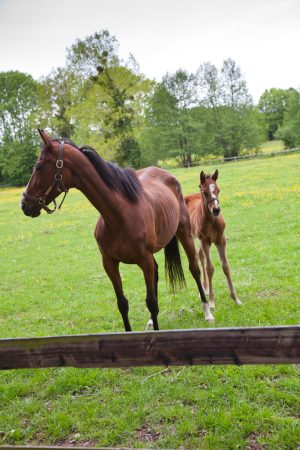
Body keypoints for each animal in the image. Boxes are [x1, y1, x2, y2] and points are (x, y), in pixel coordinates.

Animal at [21, 128, 213, 332]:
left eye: (39, 166)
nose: (24, 204)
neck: (119, 215)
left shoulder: (144, 260)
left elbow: (151, 302)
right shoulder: (110, 263)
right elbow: (123, 303)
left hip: (184, 234)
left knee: (194, 269)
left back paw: (207, 312)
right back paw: (151, 321)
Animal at [185, 171, 241, 312]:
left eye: (218, 190)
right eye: (205, 192)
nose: (216, 210)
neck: (211, 221)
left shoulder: (220, 240)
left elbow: (226, 266)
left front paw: (236, 299)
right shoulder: (205, 241)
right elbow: (210, 268)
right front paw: (211, 302)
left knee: (200, 256)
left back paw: (204, 288)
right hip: (193, 238)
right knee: (198, 258)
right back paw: (202, 292)